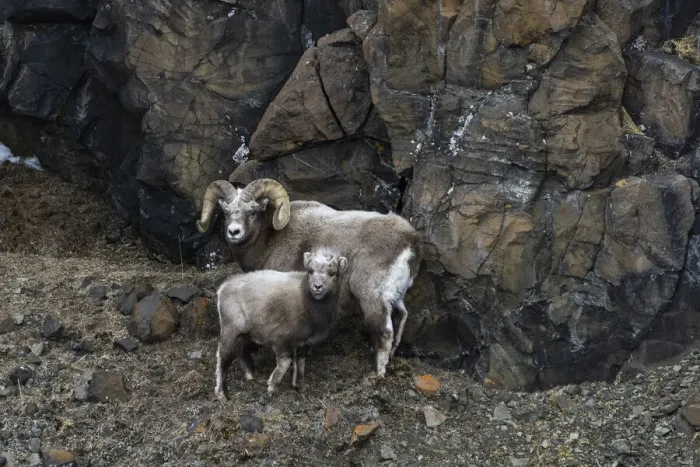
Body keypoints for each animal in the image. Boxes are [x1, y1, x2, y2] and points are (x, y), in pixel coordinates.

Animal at [197, 178, 421, 379]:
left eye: (252, 211)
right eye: (226, 212)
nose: (234, 232)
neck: (270, 239)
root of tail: (409, 241)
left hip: (373, 299)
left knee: (385, 332)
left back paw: (377, 374)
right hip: (395, 298)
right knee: (401, 318)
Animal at [215, 247, 348, 399]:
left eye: (332, 273)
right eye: (310, 271)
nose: (317, 287)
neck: (305, 300)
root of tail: (222, 289)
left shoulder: (304, 342)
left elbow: (300, 363)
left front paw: (299, 386)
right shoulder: (281, 339)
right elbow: (286, 361)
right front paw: (272, 387)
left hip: (247, 333)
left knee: (242, 351)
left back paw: (254, 375)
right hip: (231, 330)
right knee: (223, 356)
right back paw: (222, 393)